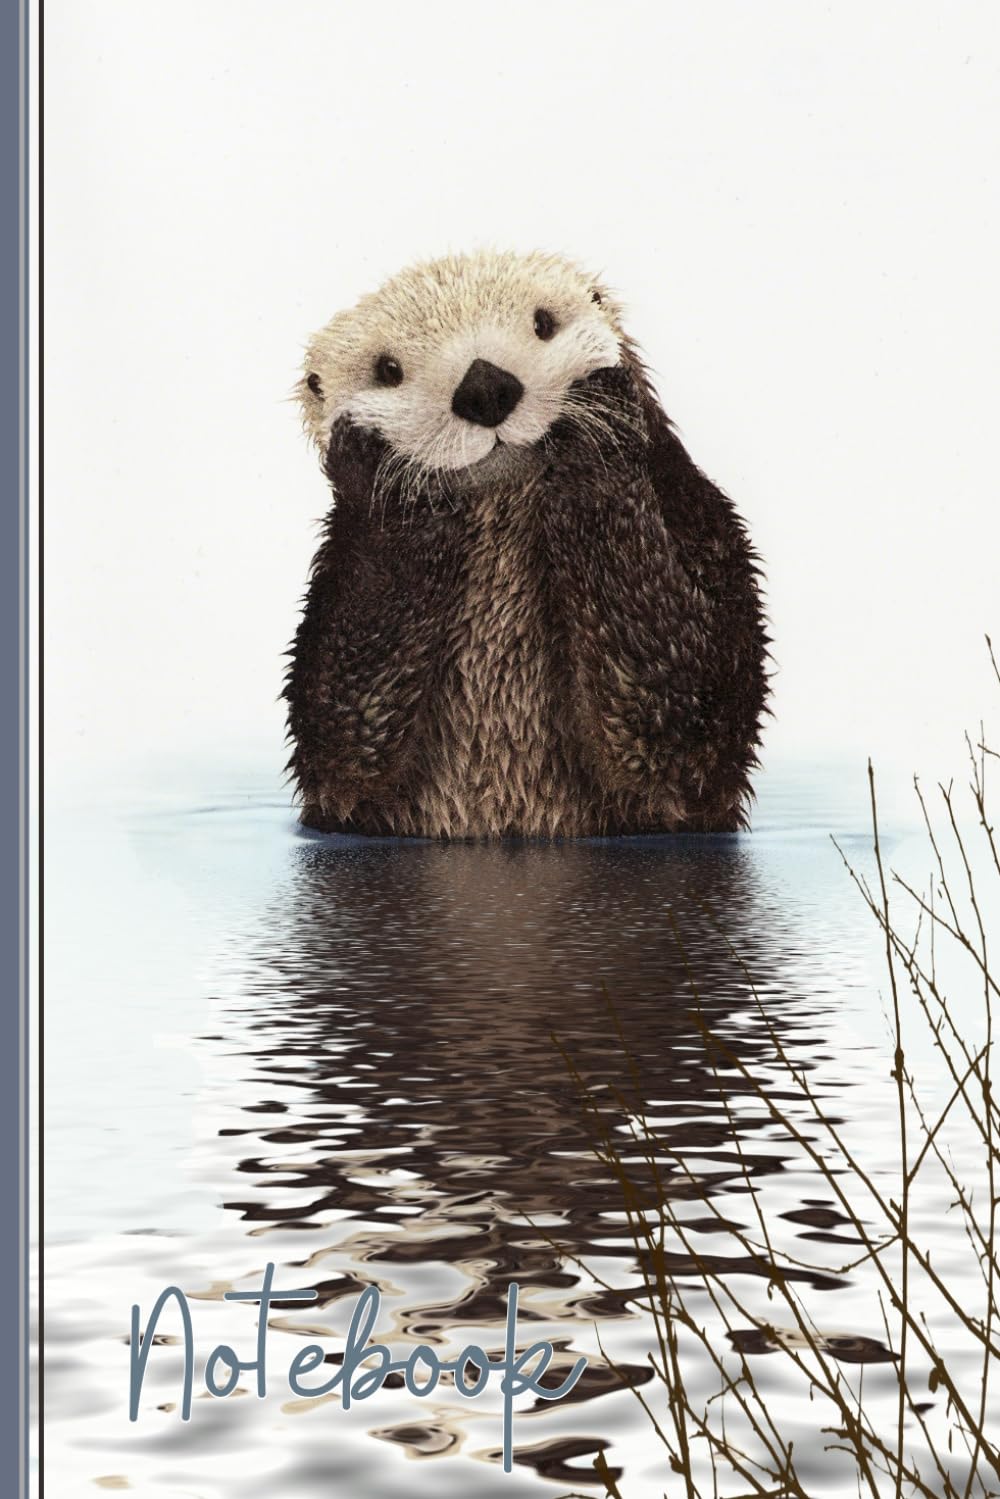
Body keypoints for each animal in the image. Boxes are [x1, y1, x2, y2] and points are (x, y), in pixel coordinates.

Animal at [285, 249, 768, 838]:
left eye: (544, 324)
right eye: (388, 371)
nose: (484, 388)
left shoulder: (699, 522)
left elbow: (685, 711)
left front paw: (597, 418)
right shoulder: (337, 589)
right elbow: (344, 733)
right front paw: (385, 471)